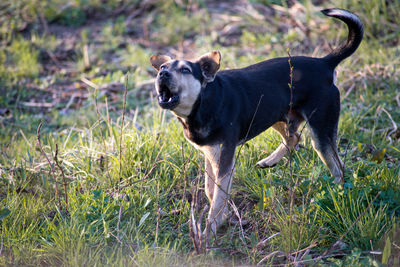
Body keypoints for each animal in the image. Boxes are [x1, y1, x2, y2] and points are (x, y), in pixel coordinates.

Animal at [149, 8, 362, 241]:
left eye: (186, 70)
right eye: (162, 67)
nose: (163, 73)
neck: (204, 101)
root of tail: (325, 63)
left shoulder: (224, 159)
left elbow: (217, 198)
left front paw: (210, 231)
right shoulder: (210, 154)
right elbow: (211, 191)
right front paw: (222, 217)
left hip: (320, 132)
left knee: (338, 168)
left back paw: (337, 194)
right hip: (274, 113)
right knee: (294, 137)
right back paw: (269, 161)